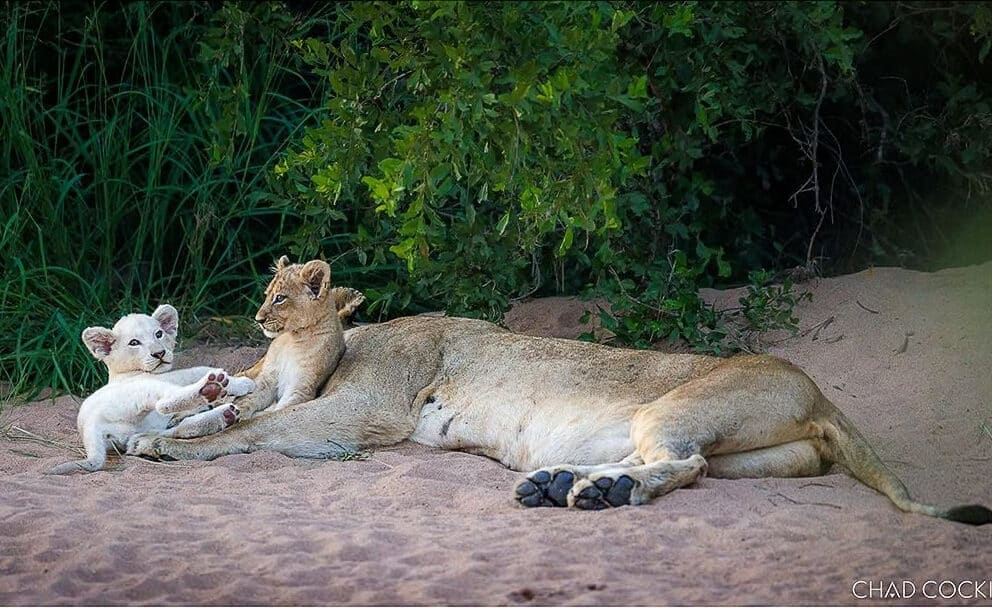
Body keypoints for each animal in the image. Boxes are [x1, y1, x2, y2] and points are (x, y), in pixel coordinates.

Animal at [128, 259, 991, 525]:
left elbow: (255, 432)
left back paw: (589, 494)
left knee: (682, 465)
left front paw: (164, 442)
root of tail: (819, 394)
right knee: (683, 467)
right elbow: (247, 414)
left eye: (280, 298)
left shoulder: (362, 412)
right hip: (761, 456)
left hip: (676, 404)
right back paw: (568, 485)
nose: (255, 316)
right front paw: (187, 421)